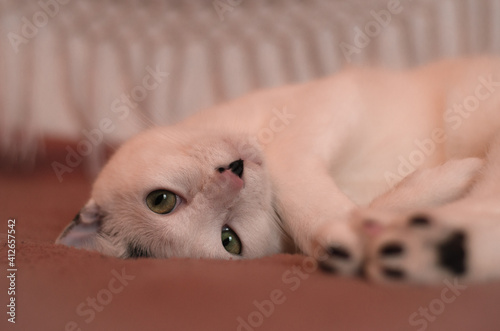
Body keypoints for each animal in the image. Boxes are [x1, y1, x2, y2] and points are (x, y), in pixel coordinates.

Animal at [56, 57, 500, 286]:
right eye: (228, 239)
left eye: (161, 200)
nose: (233, 173)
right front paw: (350, 234)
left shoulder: (330, 103)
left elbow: (291, 178)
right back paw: (417, 247)